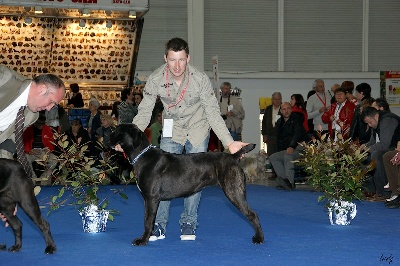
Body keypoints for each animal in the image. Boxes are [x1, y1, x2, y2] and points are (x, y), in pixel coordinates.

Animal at [110, 123, 266, 246]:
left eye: (116, 130)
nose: (108, 134)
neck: (142, 155)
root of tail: (233, 157)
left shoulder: (151, 199)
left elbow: (148, 221)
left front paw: (142, 241)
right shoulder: (147, 200)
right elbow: (147, 219)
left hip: (234, 192)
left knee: (253, 214)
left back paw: (259, 238)